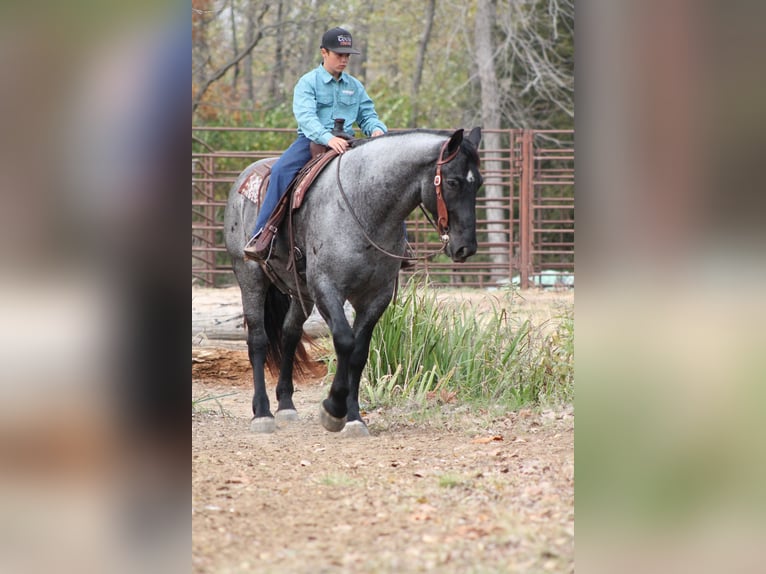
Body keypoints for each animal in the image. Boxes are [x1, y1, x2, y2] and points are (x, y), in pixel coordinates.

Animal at [225, 128, 484, 438]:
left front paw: (353, 418)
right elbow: (345, 341)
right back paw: (262, 413)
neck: (363, 207)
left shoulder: (376, 296)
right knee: (258, 339)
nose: (466, 247)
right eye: (453, 181)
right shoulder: (327, 288)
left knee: (289, 334)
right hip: (250, 276)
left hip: (300, 292)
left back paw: (286, 405)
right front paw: (332, 408)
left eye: (479, 184)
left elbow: (359, 352)